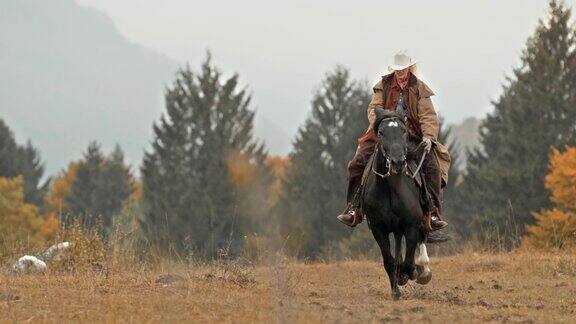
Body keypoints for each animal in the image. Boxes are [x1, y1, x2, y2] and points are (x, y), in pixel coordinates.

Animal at [360, 107, 432, 300]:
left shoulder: (411, 226)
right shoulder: (378, 229)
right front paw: (395, 291)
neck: (390, 188)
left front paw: (410, 274)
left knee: (421, 239)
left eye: (403, 131)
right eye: (381, 132)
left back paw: (423, 271)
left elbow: (408, 261)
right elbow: (389, 261)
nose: (398, 162)